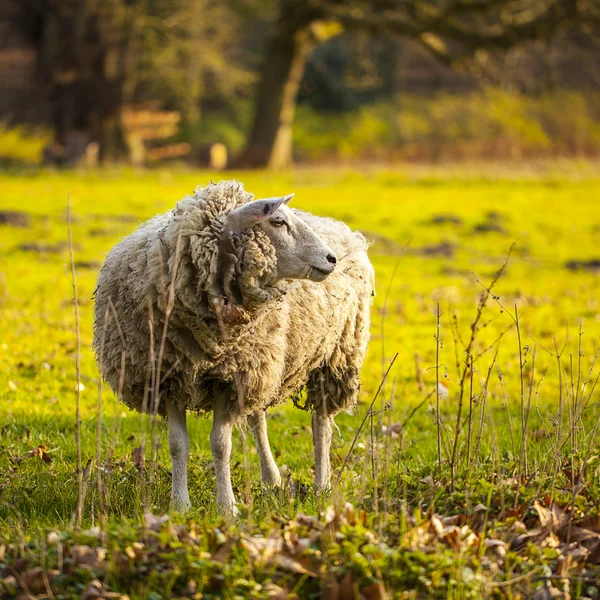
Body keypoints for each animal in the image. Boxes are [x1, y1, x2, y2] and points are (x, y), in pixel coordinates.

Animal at [92, 180, 376, 512]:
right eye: (277, 221)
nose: (331, 259)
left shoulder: (228, 381)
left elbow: (220, 445)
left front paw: (226, 507)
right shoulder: (169, 377)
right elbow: (177, 444)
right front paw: (180, 505)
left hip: (335, 356)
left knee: (321, 423)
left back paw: (321, 484)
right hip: (262, 364)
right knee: (258, 418)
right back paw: (271, 478)